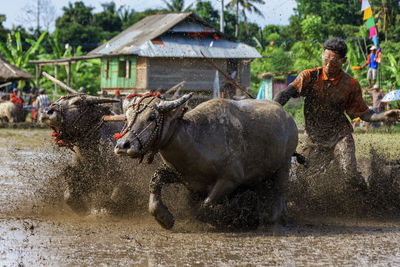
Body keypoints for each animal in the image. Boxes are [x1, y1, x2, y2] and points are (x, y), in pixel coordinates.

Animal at [114, 94, 298, 230]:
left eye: (152, 117)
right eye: (127, 117)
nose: (122, 145)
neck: (197, 138)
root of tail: (287, 117)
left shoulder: (229, 180)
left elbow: (203, 208)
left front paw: (224, 219)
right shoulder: (182, 176)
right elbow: (156, 181)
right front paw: (164, 218)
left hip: (285, 163)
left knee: (280, 191)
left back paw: (271, 218)